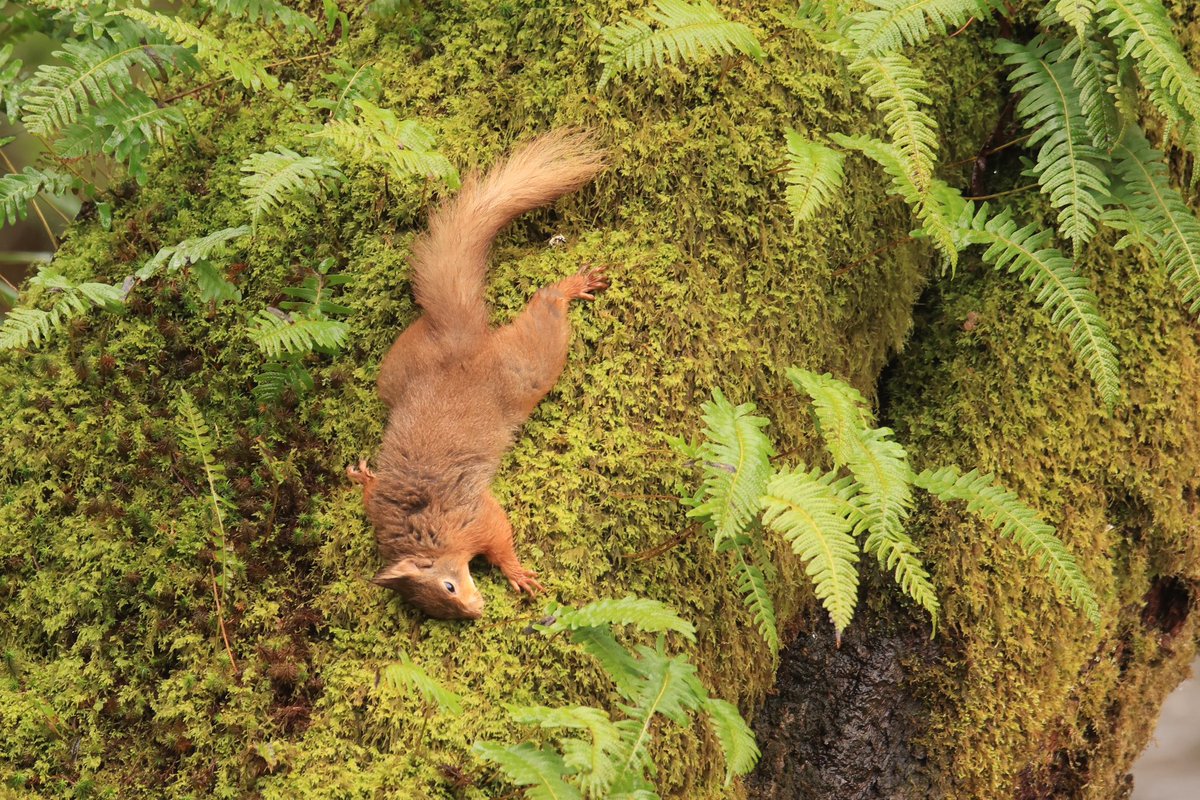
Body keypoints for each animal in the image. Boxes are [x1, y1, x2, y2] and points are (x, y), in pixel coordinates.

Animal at [348, 130, 609, 618]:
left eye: (449, 587)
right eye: (434, 608)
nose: (474, 612)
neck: (426, 531)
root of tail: (458, 337)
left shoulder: (472, 517)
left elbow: (499, 535)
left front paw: (515, 571)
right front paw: (364, 477)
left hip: (524, 368)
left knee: (546, 308)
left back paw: (568, 287)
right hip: (396, 371)